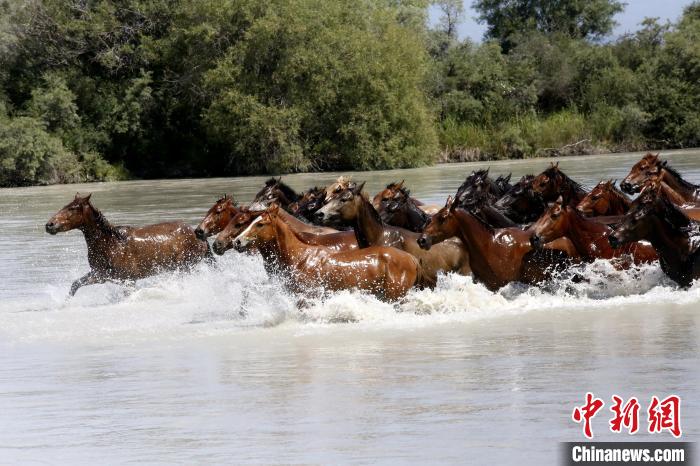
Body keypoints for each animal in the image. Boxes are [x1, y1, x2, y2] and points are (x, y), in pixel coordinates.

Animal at [45, 195, 211, 296]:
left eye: (72, 208)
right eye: (66, 206)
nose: (49, 225)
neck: (111, 244)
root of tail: (199, 236)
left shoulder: (128, 280)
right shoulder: (100, 275)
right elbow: (75, 285)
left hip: (185, 267)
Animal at [231, 206, 422, 300]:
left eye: (260, 224)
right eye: (249, 222)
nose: (237, 241)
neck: (299, 258)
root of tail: (412, 259)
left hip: (394, 295)